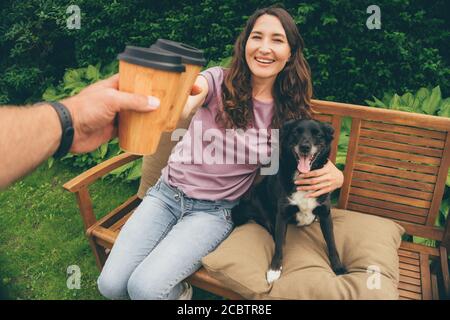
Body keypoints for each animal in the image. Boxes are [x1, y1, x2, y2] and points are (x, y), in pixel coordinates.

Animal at [230, 119, 346, 282]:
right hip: (259, 200)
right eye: (295, 132)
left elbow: (332, 242)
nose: (305, 147)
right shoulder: (282, 214)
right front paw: (274, 268)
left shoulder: (325, 213)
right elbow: (279, 245)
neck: (303, 177)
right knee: (269, 226)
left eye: (318, 134)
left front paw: (338, 266)